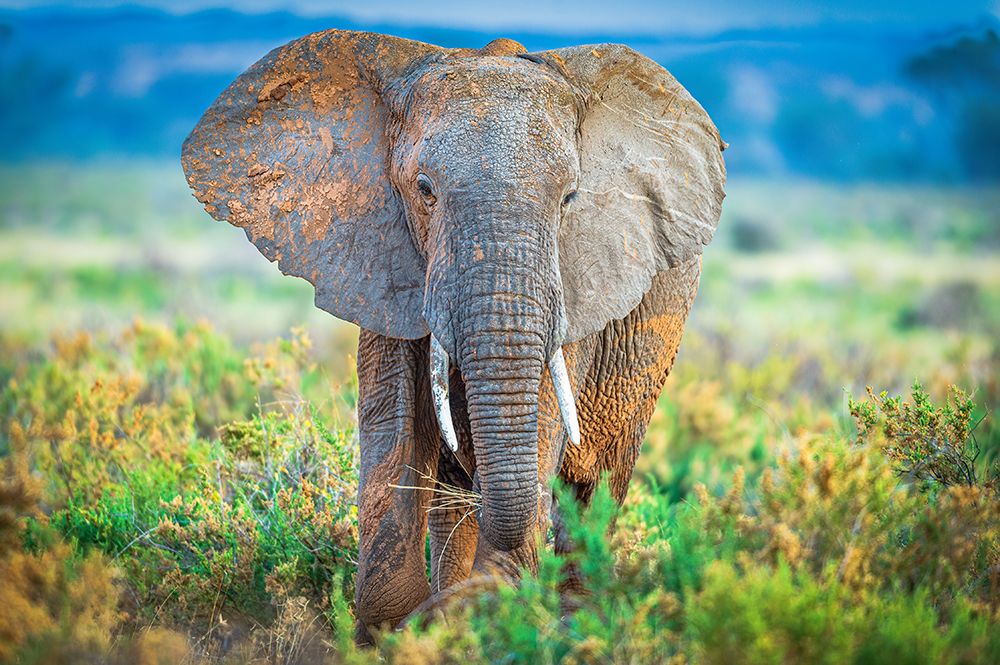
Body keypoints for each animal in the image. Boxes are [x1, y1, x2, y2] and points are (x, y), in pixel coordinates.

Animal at [181, 30, 726, 643]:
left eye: (569, 199)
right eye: (424, 190)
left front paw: (468, 615)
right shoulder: (383, 253)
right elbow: (394, 416)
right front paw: (405, 624)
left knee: (596, 483)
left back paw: (575, 624)